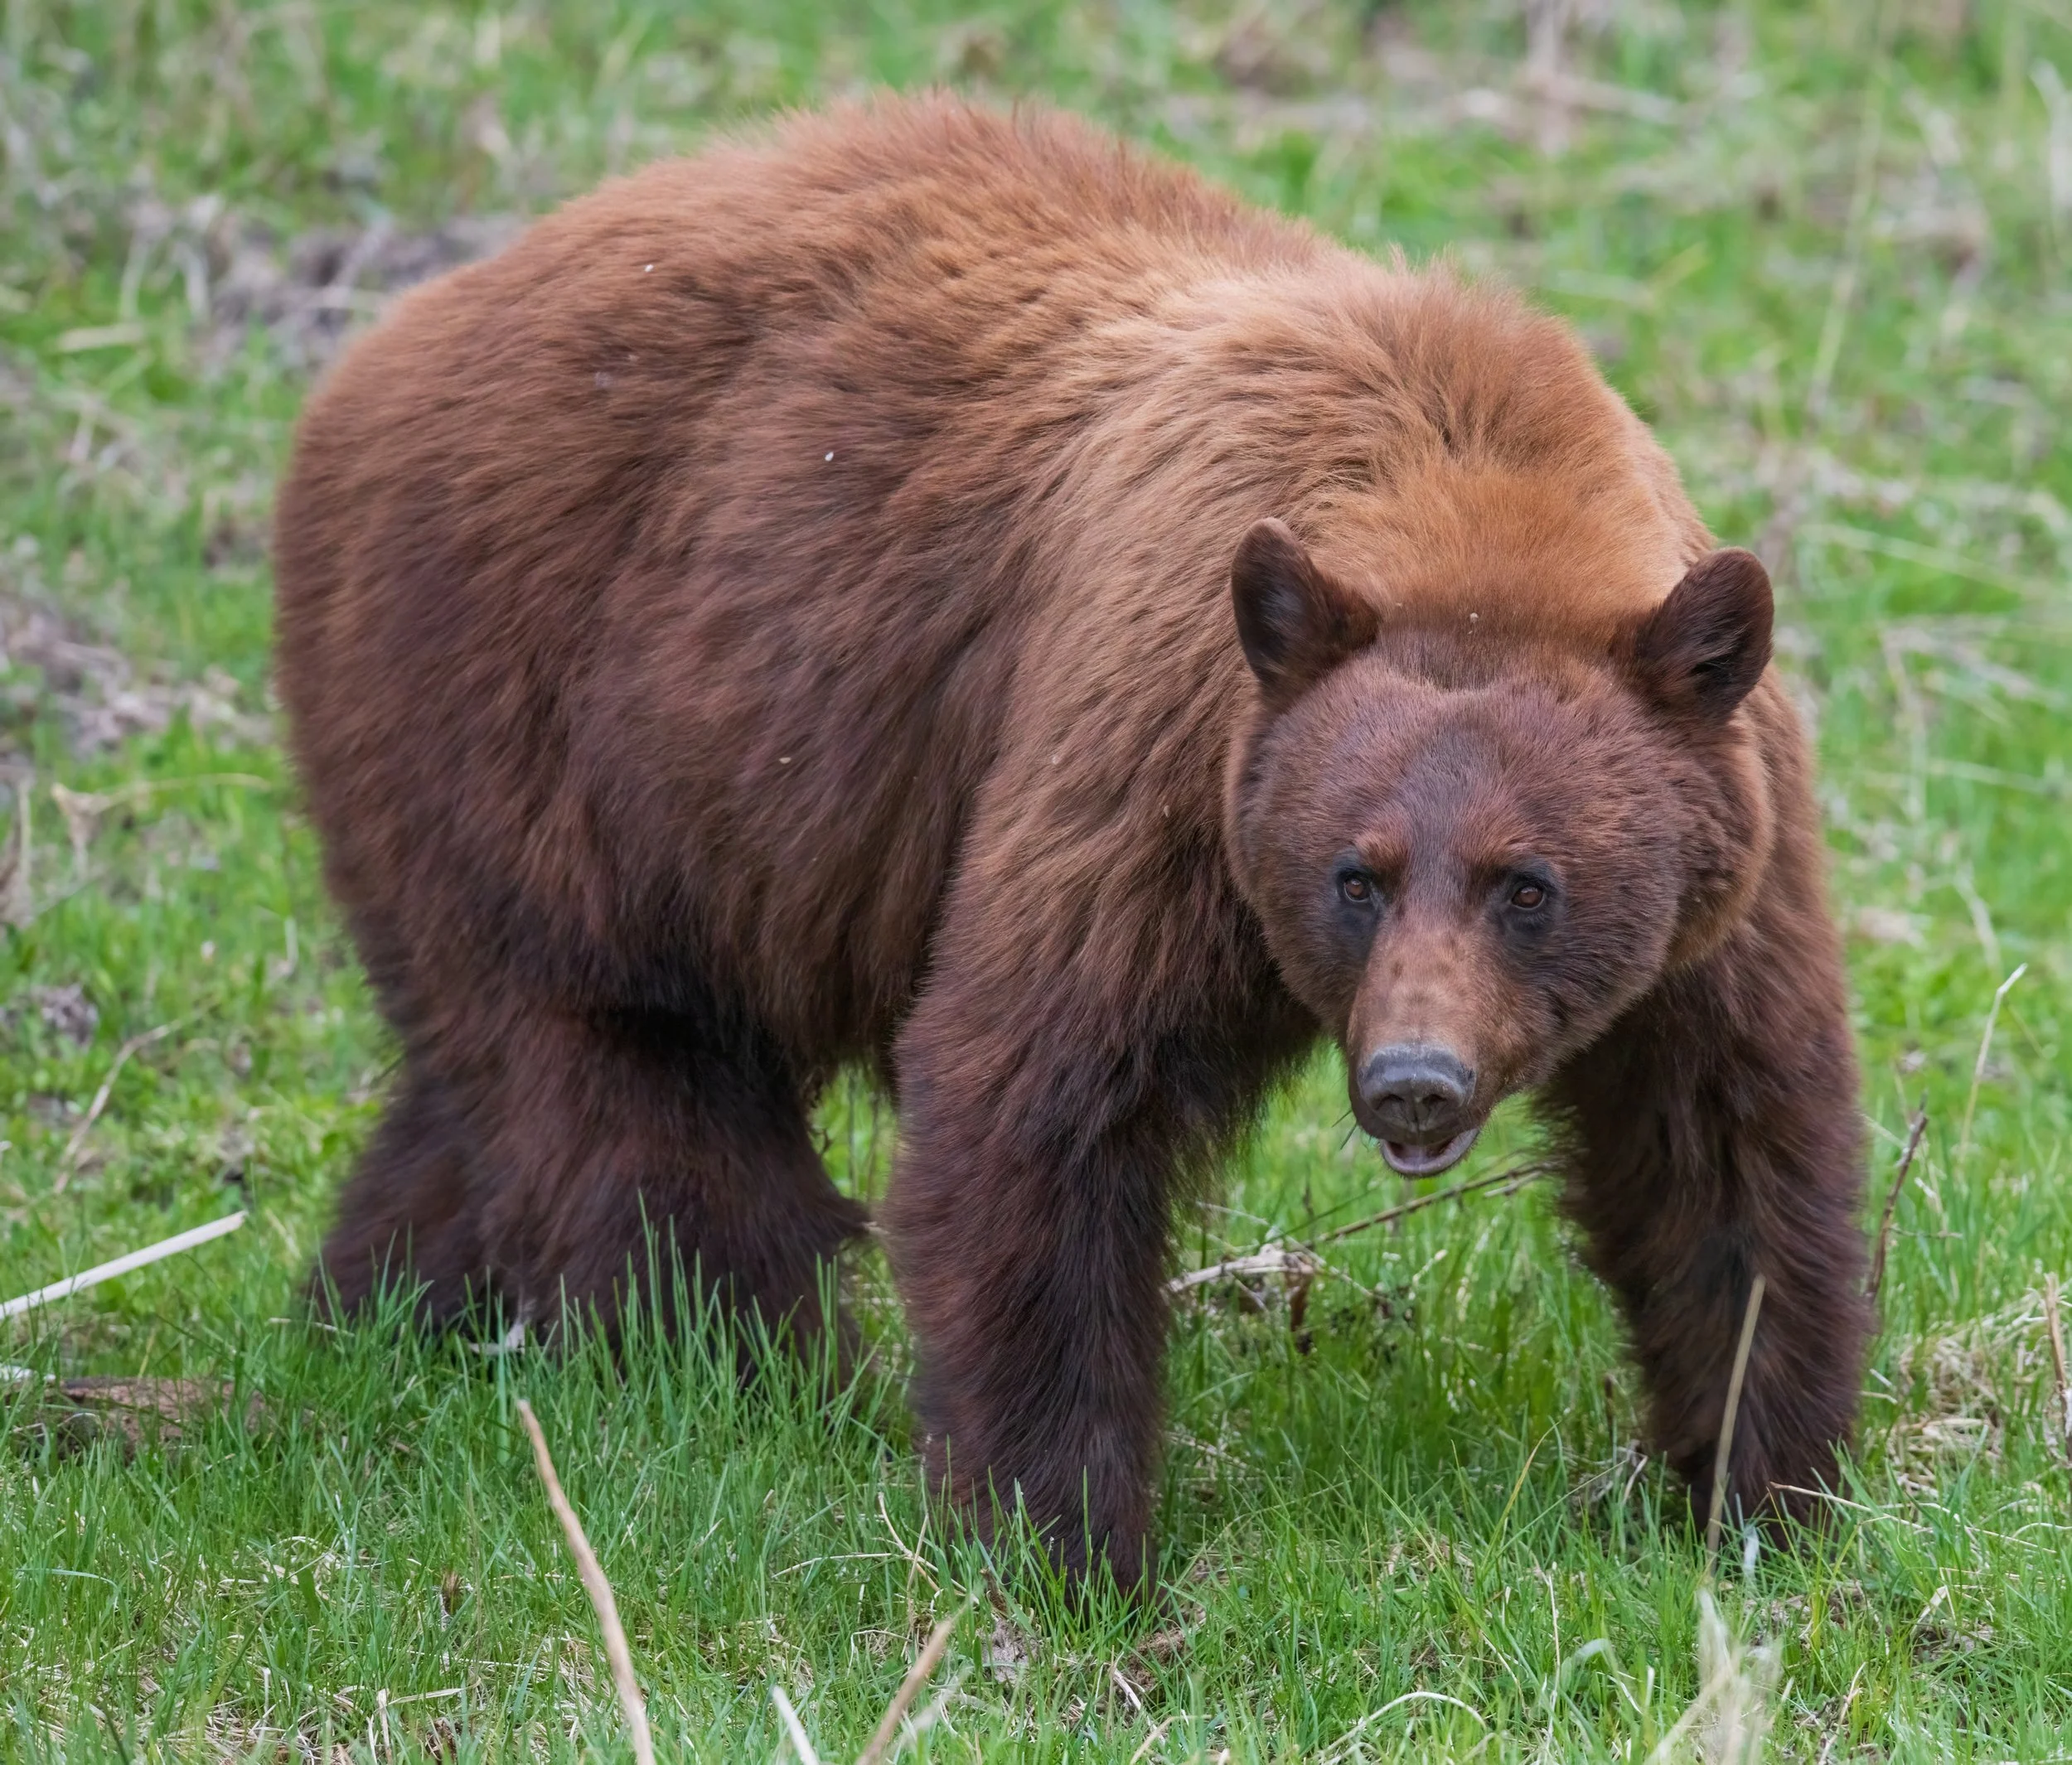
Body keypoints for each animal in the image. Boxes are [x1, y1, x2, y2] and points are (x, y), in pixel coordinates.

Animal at [274, 94, 1870, 1591]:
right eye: (1354, 875)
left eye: (1527, 885)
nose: (1415, 1080)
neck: (1473, 503)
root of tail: (370, 360)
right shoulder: (1158, 761)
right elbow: (1041, 1090)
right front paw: (1066, 1539)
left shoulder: (1724, 866)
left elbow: (1724, 1146)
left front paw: (1761, 1492)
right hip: (543, 719)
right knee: (632, 1104)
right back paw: (736, 1384)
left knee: (486, 1091)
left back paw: (375, 1315)